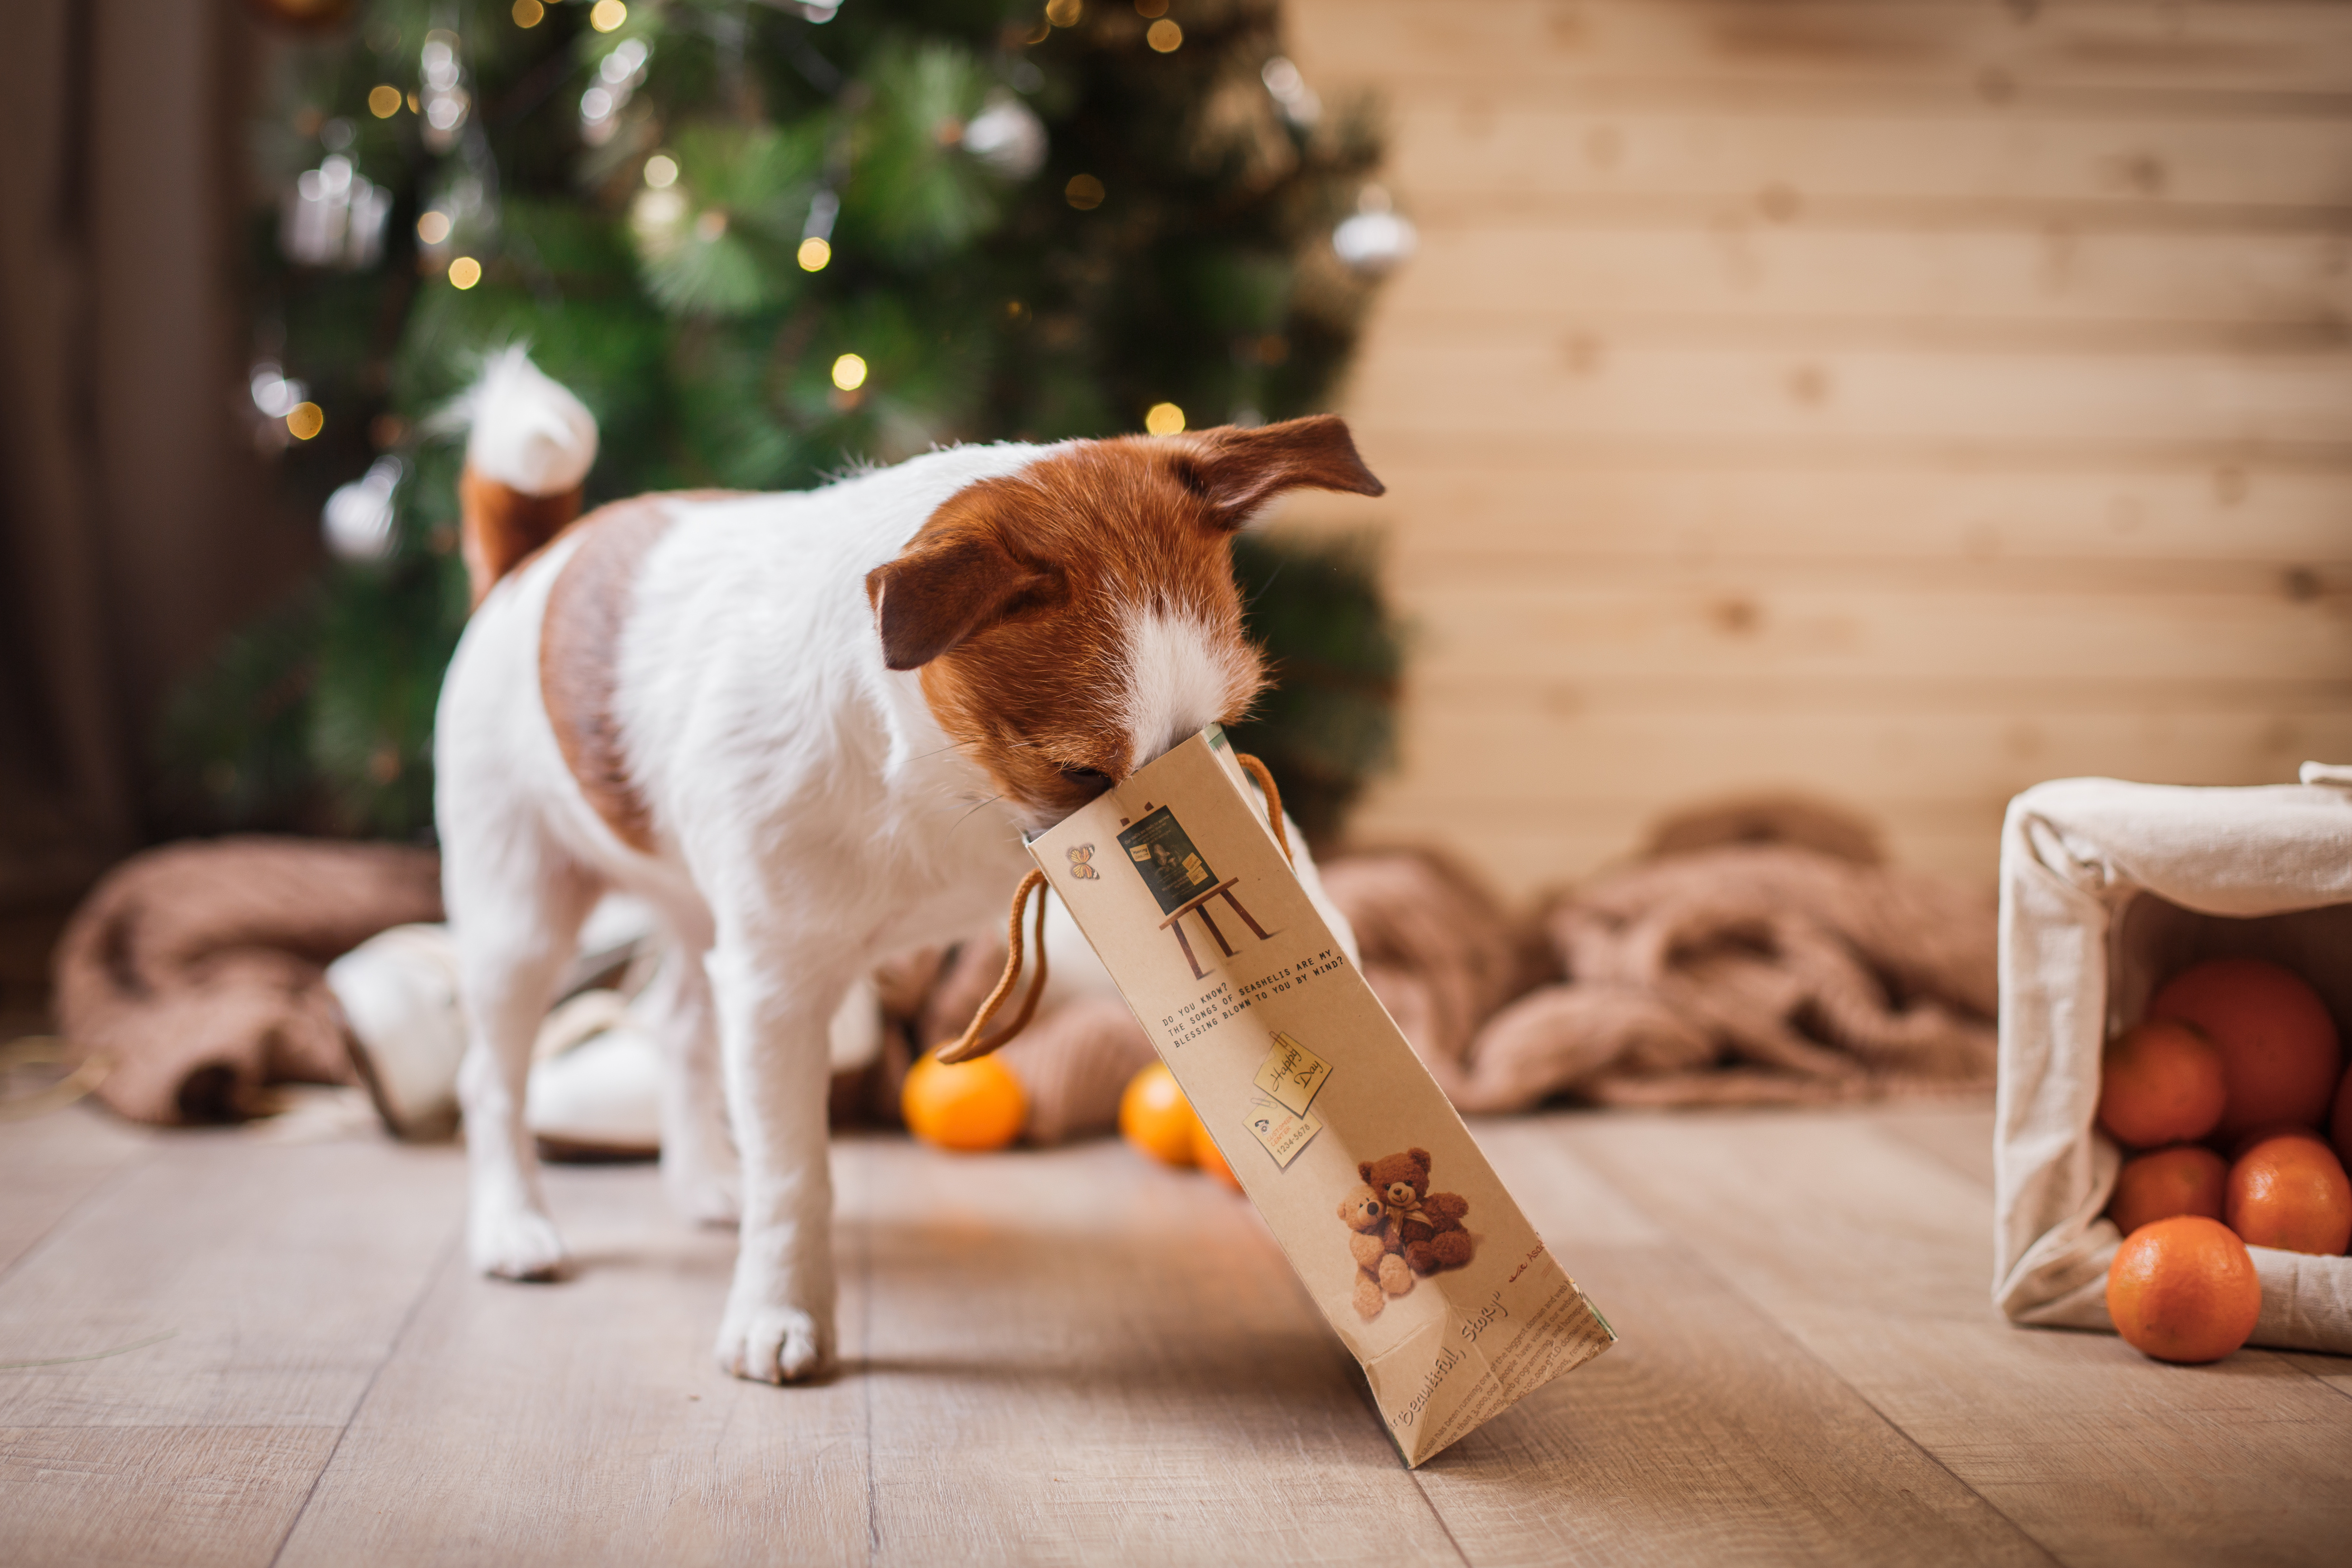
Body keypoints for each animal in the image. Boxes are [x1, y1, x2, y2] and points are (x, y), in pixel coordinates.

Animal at [440, 353, 1373, 1382]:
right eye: (1080, 774)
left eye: (1226, 732)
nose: (1185, 841)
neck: (947, 787)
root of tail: (531, 563)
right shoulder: (778, 988)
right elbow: (795, 1173)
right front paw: (779, 1309)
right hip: (521, 917)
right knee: (491, 1079)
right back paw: (514, 1226)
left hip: (689, 903)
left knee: (680, 1025)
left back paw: (708, 1186)